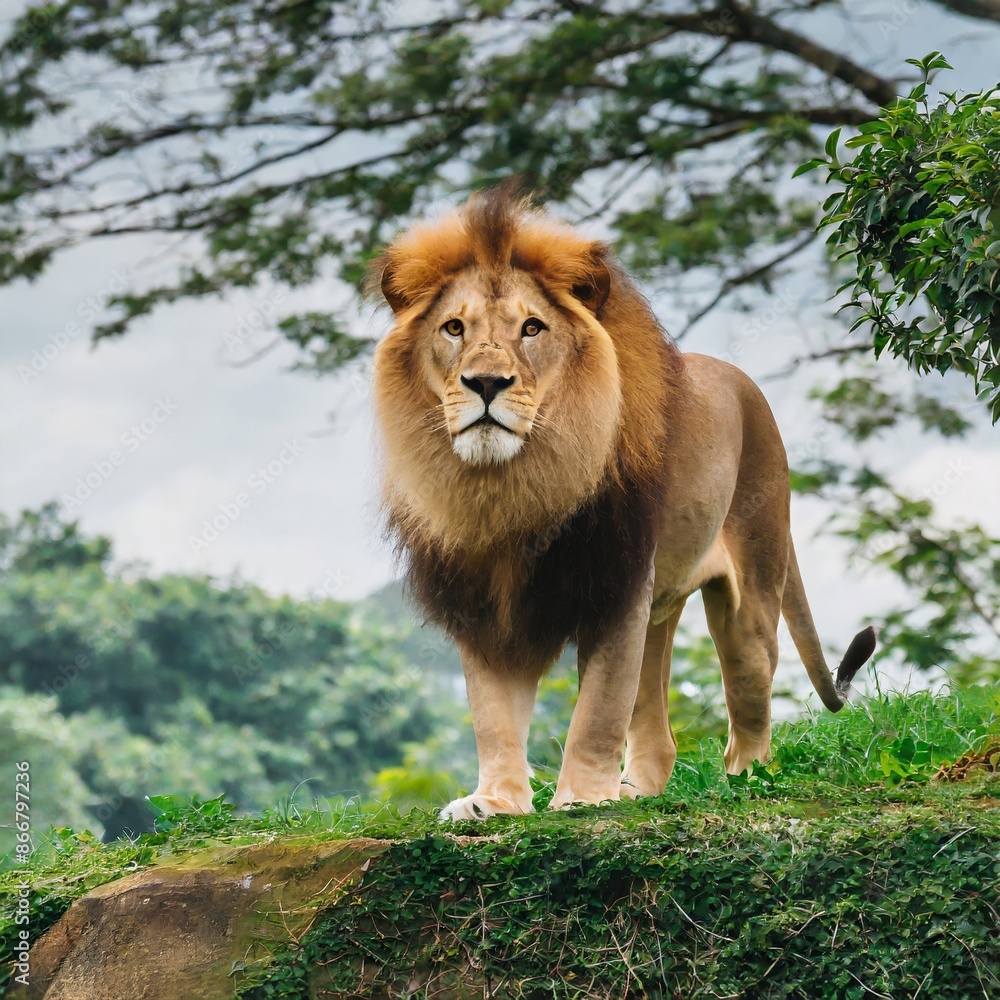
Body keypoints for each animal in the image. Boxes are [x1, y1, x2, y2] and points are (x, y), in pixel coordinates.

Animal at [369, 186, 877, 821]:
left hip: (751, 584)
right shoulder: (483, 602)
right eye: (453, 327)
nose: (486, 383)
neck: (511, 487)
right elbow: (493, 715)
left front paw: (582, 801)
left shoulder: (617, 583)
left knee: (751, 688)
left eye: (532, 328)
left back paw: (746, 781)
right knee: (658, 731)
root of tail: (745, 383)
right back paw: (639, 792)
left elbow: (599, 710)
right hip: (660, 606)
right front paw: (494, 802)